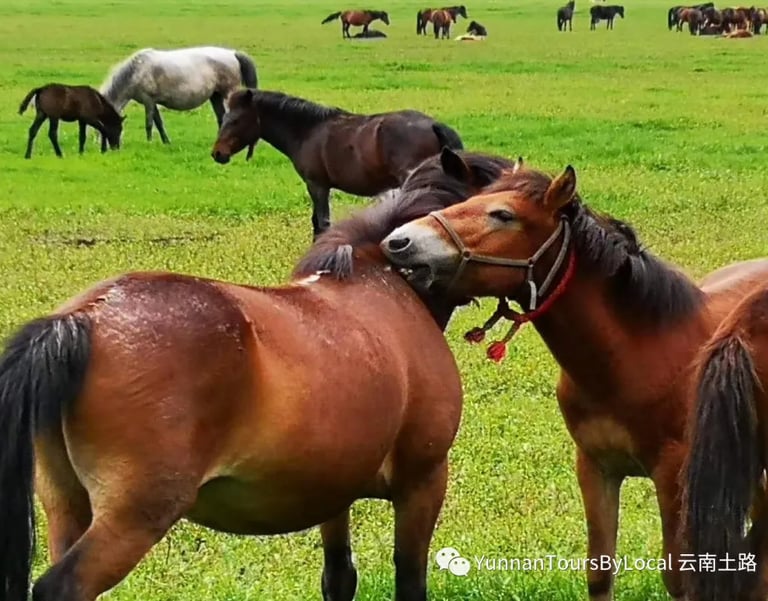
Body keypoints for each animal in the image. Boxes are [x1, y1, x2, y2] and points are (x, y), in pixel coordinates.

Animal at [0, 148, 514, 601]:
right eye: (498, 211)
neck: (386, 281)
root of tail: (81, 319)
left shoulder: (334, 490)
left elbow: (339, 578)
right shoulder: (422, 482)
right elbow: (409, 581)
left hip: (66, 504)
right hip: (134, 517)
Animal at [99, 46, 258, 144]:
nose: (106, 147)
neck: (137, 70)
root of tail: (233, 54)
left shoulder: (148, 100)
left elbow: (149, 123)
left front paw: (149, 142)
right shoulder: (152, 102)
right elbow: (159, 123)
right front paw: (166, 142)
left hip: (228, 93)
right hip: (216, 96)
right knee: (221, 118)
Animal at [210, 89, 464, 240]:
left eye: (234, 120)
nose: (217, 153)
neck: (308, 130)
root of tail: (433, 125)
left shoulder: (317, 185)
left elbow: (321, 223)